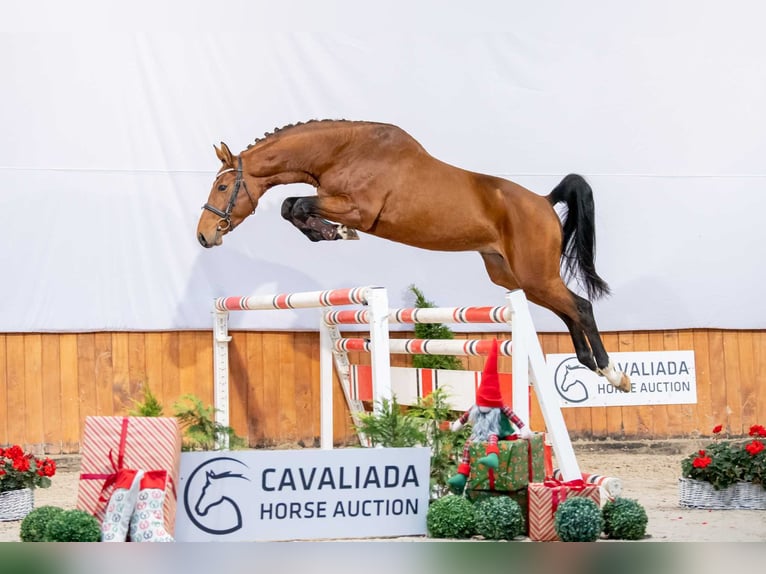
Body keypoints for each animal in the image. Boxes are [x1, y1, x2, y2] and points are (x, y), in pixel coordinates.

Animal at [196, 120, 632, 394]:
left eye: (222, 187)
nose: (204, 235)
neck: (341, 151)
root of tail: (543, 201)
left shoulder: (359, 208)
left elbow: (296, 203)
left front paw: (336, 232)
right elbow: (292, 207)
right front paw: (329, 233)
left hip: (535, 274)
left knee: (580, 305)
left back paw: (613, 373)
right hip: (514, 276)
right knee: (569, 310)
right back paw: (591, 363)